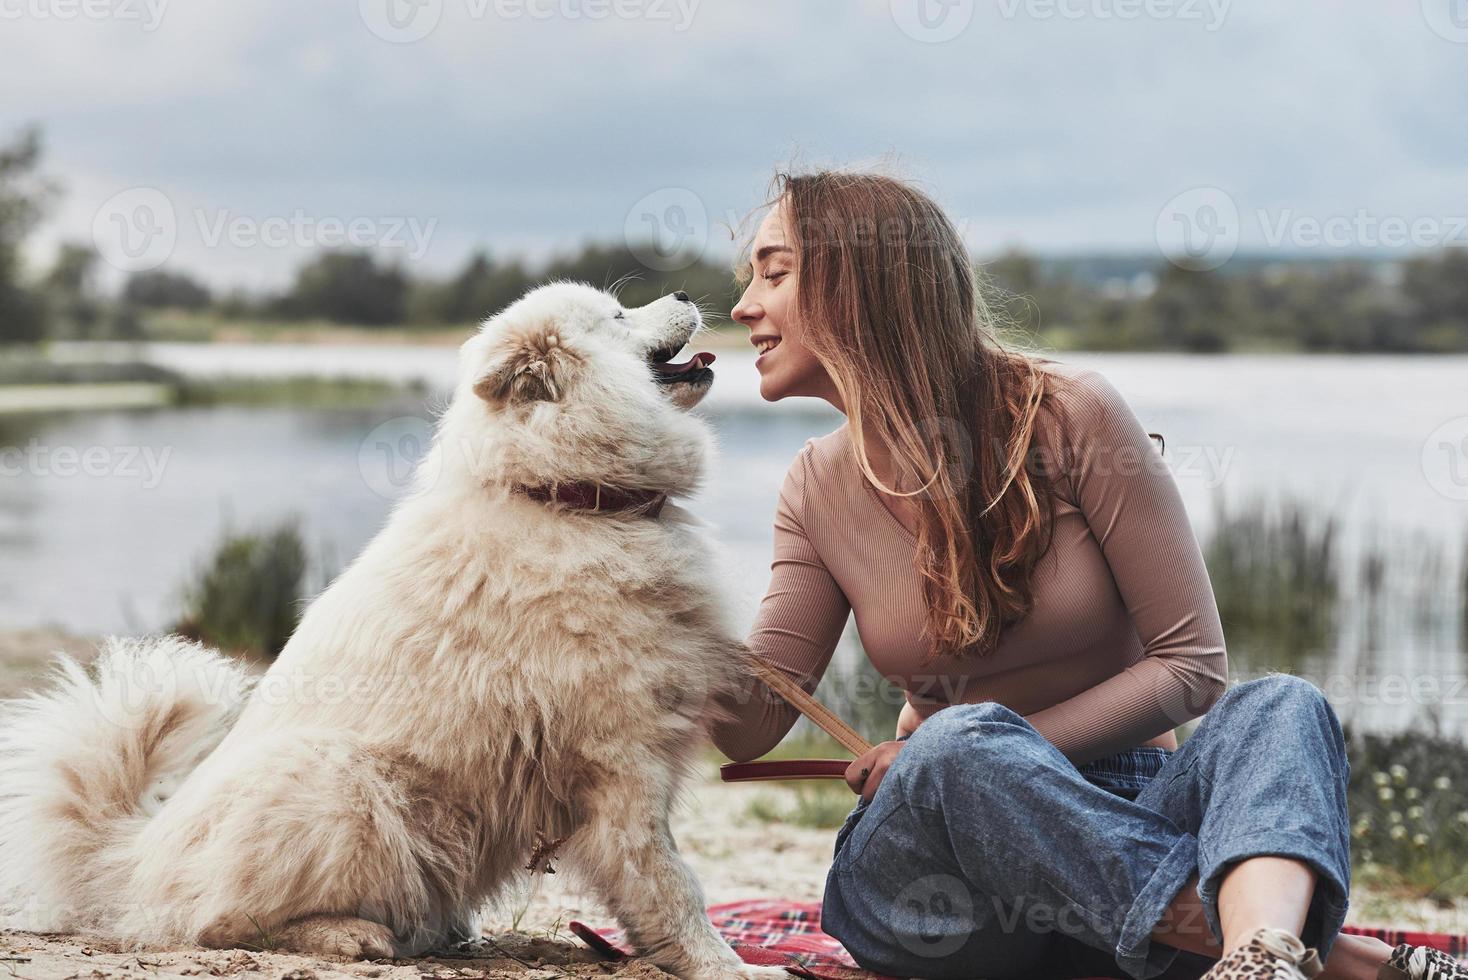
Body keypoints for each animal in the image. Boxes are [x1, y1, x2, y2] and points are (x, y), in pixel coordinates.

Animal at [0, 283, 786, 979]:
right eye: (618, 314)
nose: (683, 292)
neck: (566, 499)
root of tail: (128, 859)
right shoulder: (623, 765)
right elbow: (674, 886)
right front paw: (730, 968)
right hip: (344, 786)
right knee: (219, 922)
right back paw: (351, 935)